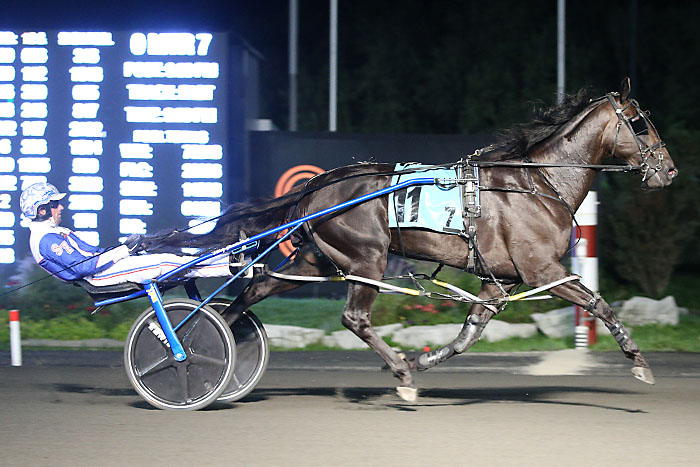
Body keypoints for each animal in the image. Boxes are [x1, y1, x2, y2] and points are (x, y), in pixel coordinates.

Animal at [144, 79, 680, 402]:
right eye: (640, 123)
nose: (669, 171)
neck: (537, 182)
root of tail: (317, 184)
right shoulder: (543, 270)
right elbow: (599, 303)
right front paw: (639, 363)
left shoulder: (498, 282)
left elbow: (467, 336)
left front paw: (422, 359)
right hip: (367, 257)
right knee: (354, 318)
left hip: (318, 259)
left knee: (253, 292)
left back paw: (213, 345)